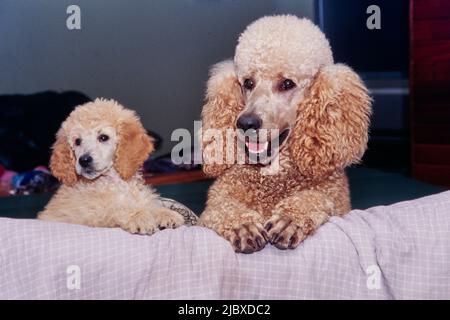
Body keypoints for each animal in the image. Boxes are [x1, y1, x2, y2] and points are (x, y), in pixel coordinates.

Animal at [37, 99, 184, 234]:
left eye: (103, 137)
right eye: (77, 141)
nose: (84, 160)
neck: (112, 182)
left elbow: (148, 203)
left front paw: (166, 213)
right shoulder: (90, 215)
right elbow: (116, 209)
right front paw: (138, 217)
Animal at [199, 16, 370, 254]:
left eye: (287, 83)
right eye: (248, 83)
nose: (245, 123)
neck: (274, 176)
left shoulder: (333, 198)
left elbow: (315, 197)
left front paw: (289, 219)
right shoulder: (213, 206)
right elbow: (223, 208)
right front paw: (243, 225)